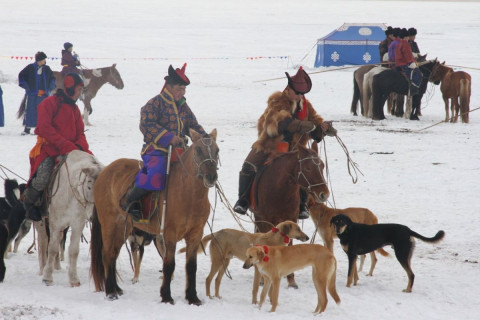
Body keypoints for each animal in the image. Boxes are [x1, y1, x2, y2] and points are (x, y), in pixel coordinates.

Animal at [37, 151, 104, 288]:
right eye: (89, 186)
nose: (95, 216)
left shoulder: (78, 224)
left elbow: (73, 250)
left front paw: (74, 279)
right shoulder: (55, 223)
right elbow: (52, 248)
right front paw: (47, 277)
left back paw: (57, 267)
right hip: (42, 222)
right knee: (43, 242)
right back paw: (42, 269)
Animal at [90, 129, 219, 304]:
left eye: (217, 150)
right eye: (198, 150)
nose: (211, 177)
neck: (189, 195)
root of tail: (105, 171)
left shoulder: (195, 234)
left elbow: (191, 267)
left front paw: (192, 297)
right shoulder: (169, 235)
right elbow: (169, 265)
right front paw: (166, 296)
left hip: (123, 227)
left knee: (113, 254)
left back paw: (116, 288)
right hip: (109, 223)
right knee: (107, 253)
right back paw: (110, 292)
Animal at [178, 220, 310, 300]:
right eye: (298, 229)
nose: (308, 237)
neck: (272, 240)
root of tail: (215, 233)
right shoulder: (258, 270)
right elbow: (256, 288)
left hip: (225, 262)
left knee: (217, 280)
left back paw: (217, 296)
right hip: (217, 261)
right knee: (208, 279)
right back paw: (209, 297)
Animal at [248, 142, 330, 288]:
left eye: (322, 165)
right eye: (308, 168)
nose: (324, 194)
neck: (279, 190)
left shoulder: (291, 220)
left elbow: (290, 245)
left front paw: (291, 279)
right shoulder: (263, 220)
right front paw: (263, 277)